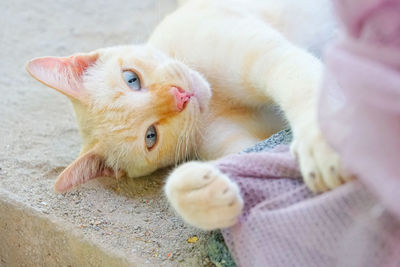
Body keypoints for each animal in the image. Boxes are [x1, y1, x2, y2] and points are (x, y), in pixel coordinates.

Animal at [25, 0, 350, 230]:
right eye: (151, 136)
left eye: (131, 79)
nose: (180, 97)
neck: (217, 101)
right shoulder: (242, 142)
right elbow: (252, 164)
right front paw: (199, 192)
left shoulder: (267, 56)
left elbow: (301, 84)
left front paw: (324, 143)